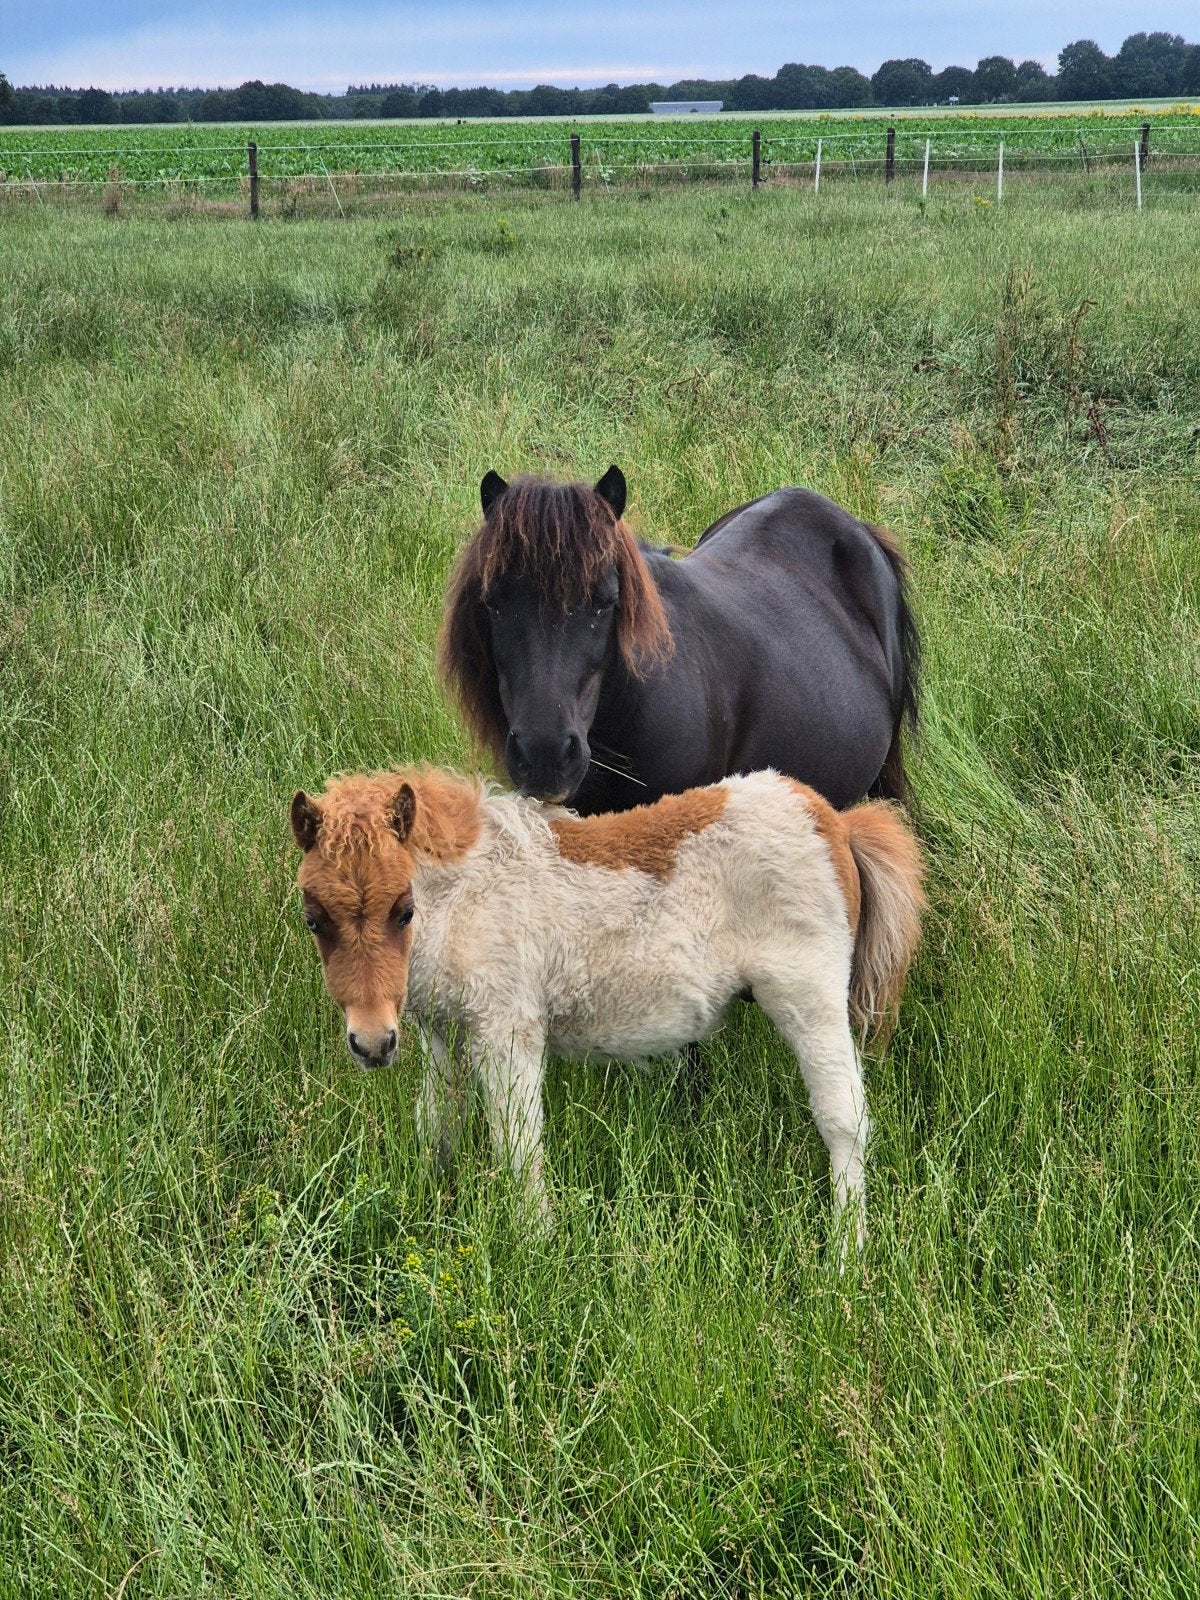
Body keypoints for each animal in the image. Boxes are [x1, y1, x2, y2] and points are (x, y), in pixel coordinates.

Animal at [290, 765, 924, 1247]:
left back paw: (845, 1256)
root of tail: (834, 821)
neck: (468, 894)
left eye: (403, 910)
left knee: (843, 1119)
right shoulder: (445, 1034)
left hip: (810, 998)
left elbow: (518, 1142)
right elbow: (438, 1125)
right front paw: (428, 1204)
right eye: (314, 920)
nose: (372, 1042)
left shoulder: (507, 1028)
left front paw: (535, 1247)